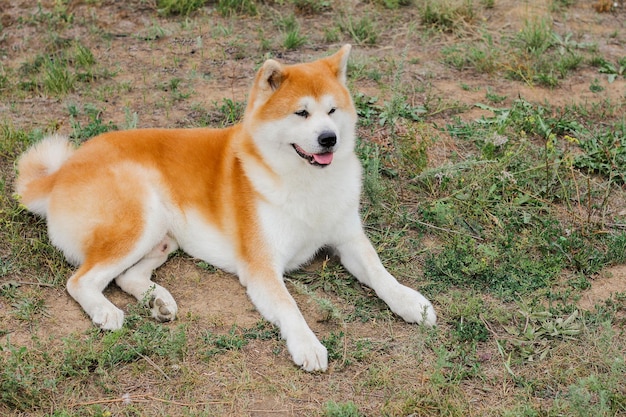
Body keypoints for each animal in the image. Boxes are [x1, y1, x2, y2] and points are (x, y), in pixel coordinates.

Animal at [14, 46, 434, 370]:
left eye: (332, 111)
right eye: (301, 113)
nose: (329, 139)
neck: (305, 182)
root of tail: (61, 171)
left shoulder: (349, 239)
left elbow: (380, 273)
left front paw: (409, 302)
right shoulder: (262, 267)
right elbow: (290, 306)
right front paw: (307, 344)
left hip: (164, 238)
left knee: (125, 277)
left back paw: (159, 301)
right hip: (141, 219)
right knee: (82, 280)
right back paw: (106, 312)